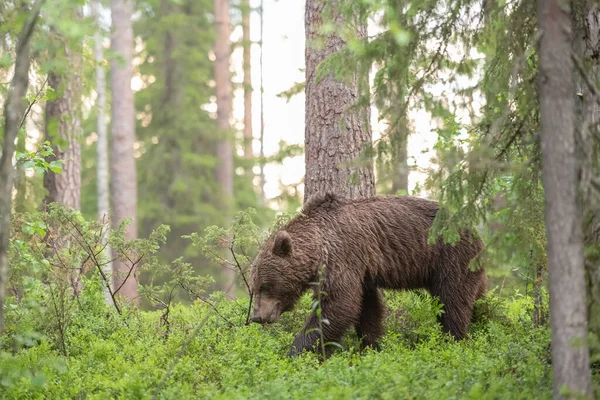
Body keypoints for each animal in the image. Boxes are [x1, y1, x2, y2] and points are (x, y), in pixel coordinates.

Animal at [248, 191, 488, 356]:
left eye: (265, 287)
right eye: (254, 287)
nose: (257, 316)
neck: (319, 246)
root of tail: (475, 230)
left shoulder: (342, 257)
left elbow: (338, 304)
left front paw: (296, 352)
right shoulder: (363, 270)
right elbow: (367, 308)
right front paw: (371, 346)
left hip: (450, 256)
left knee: (452, 301)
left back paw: (452, 340)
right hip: (471, 267)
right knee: (479, 299)